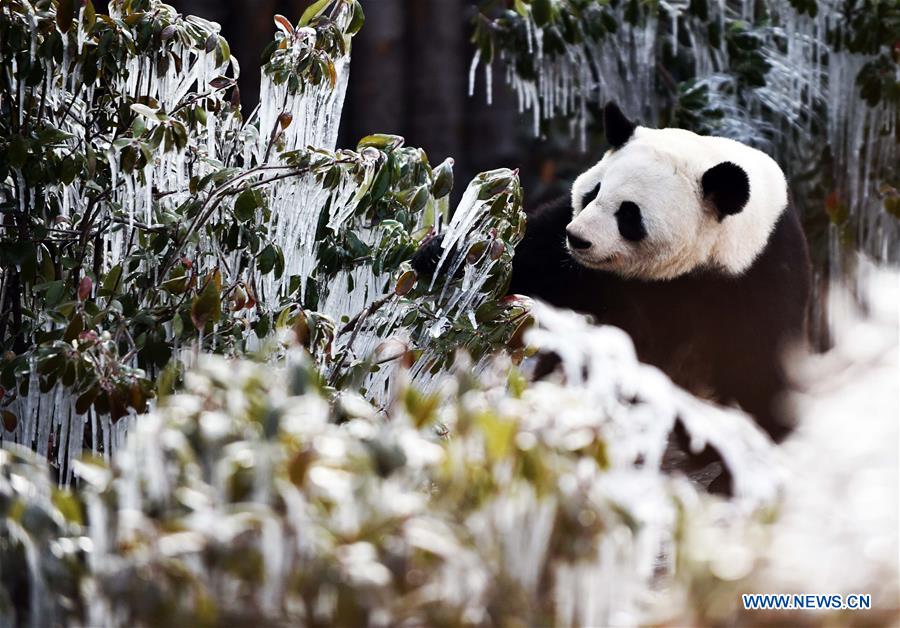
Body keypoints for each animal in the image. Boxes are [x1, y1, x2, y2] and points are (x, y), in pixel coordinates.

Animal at [510, 102, 812, 442]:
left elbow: (761, 368)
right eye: (594, 192)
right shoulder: (564, 251)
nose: (577, 238)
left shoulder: (760, 274)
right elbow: (533, 261)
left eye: (629, 214)